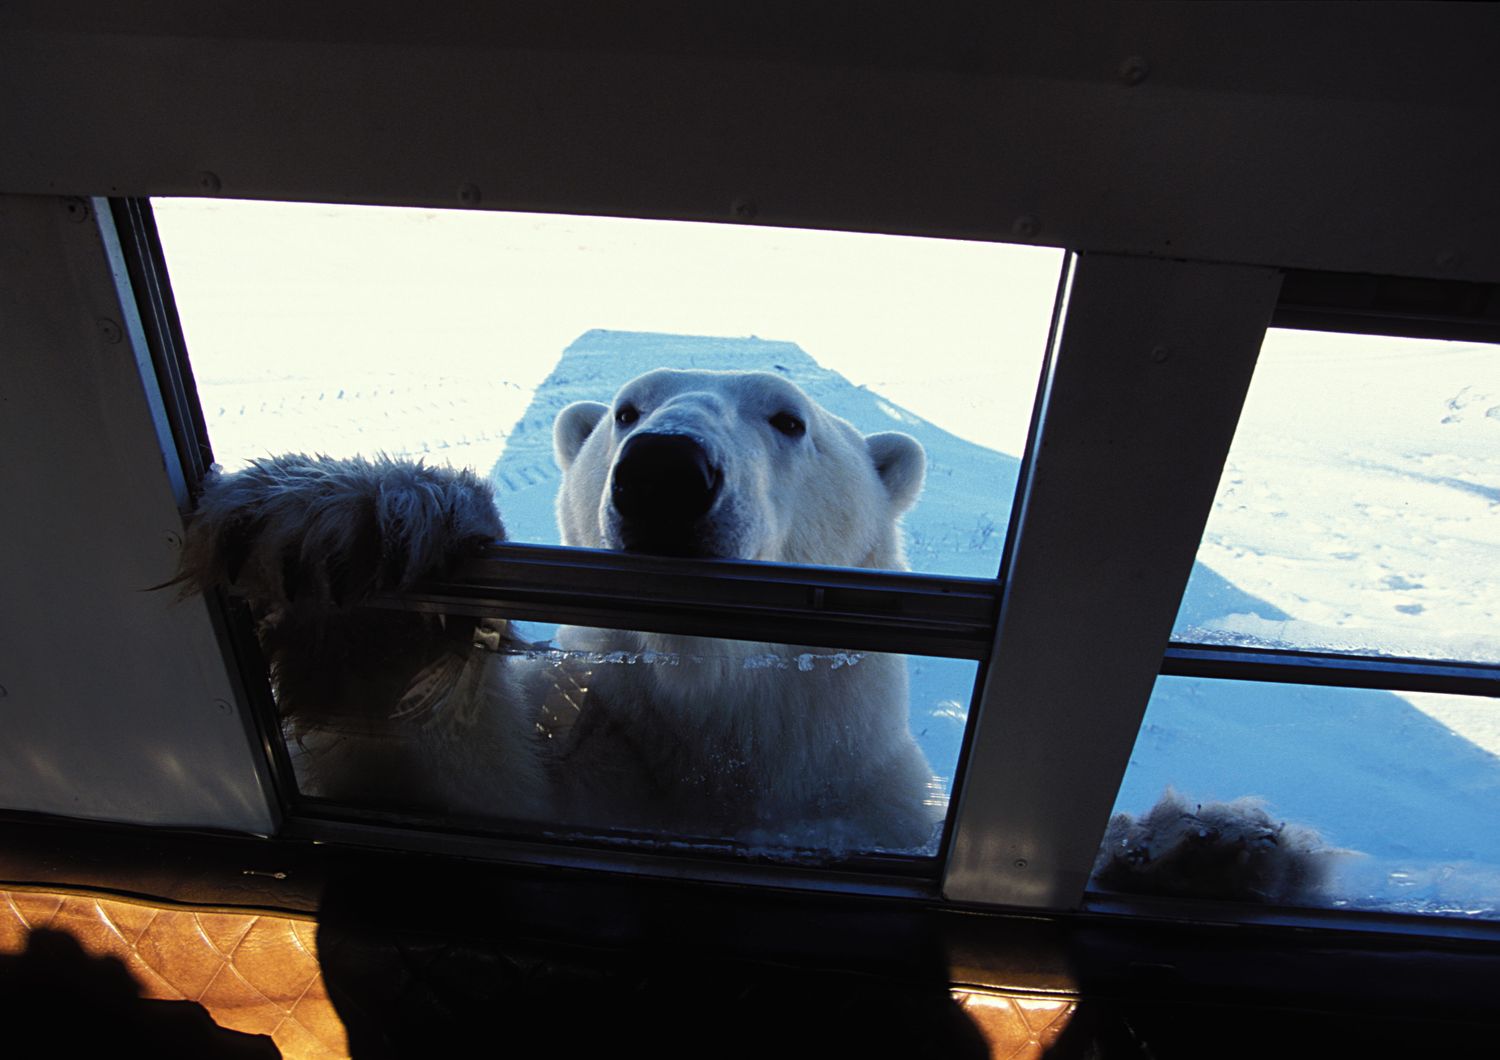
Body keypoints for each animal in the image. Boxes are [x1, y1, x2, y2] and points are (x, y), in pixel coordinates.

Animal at [175, 373, 936, 851]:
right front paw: (346, 553)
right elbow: (439, 784)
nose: (664, 470)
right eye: (627, 410)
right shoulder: (595, 749)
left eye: (789, 419)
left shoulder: (863, 805)